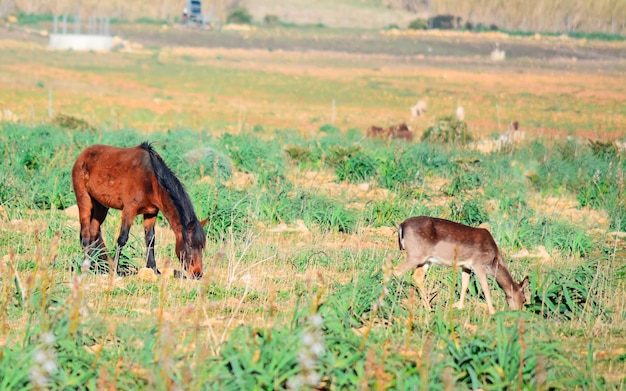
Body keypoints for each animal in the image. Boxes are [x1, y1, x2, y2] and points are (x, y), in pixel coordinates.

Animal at [70, 143, 207, 278]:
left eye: (202, 246)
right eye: (190, 245)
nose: (197, 273)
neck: (151, 180)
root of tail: (82, 155)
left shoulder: (151, 213)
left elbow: (150, 239)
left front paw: (154, 269)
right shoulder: (129, 210)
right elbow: (122, 239)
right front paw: (115, 270)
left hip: (101, 206)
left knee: (94, 232)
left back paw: (97, 265)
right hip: (84, 200)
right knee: (85, 234)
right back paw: (87, 265)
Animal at [394, 217, 528, 316]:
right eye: (524, 299)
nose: (519, 312)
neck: (494, 260)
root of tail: (402, 225)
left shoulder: (466, 266)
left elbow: (464, 285)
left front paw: (459, 306)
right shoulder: (478, 264)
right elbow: (485, 288)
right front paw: (492, 311)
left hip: (425, 259)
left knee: (417, 276)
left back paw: (429, 308)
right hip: (415, 254)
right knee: (396, 271)